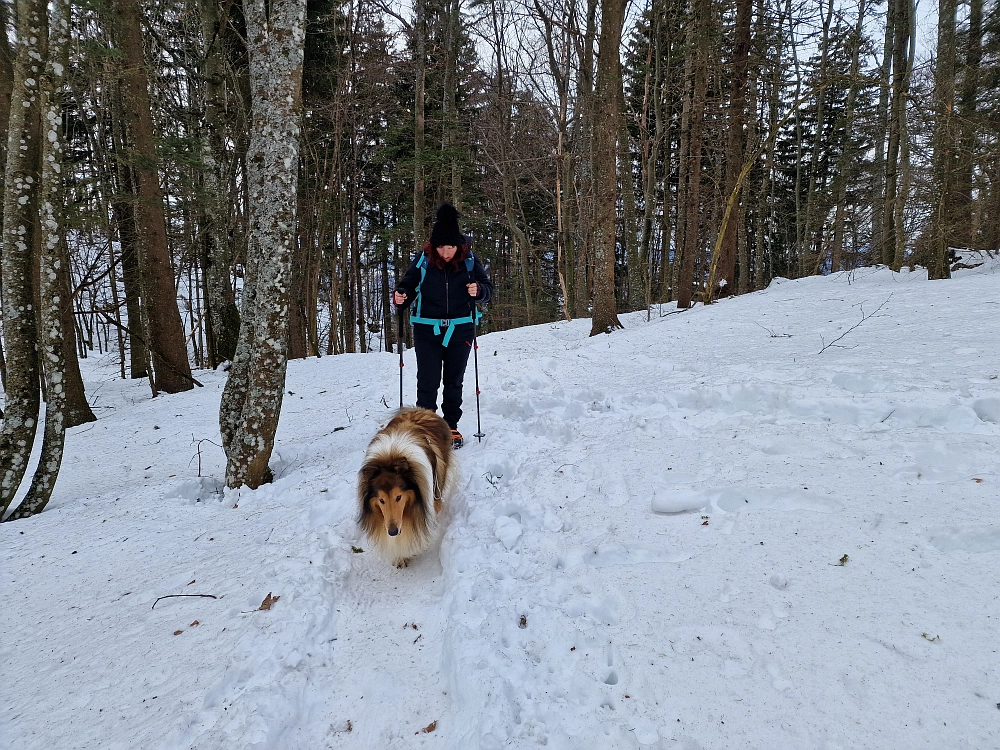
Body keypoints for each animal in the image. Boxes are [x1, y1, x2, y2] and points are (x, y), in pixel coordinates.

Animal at [356, 412, 458, 568]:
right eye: (381, 500)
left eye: (398, 497)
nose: (392, 532)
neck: (390, 458)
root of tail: (422, 410)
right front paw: (400, 557)